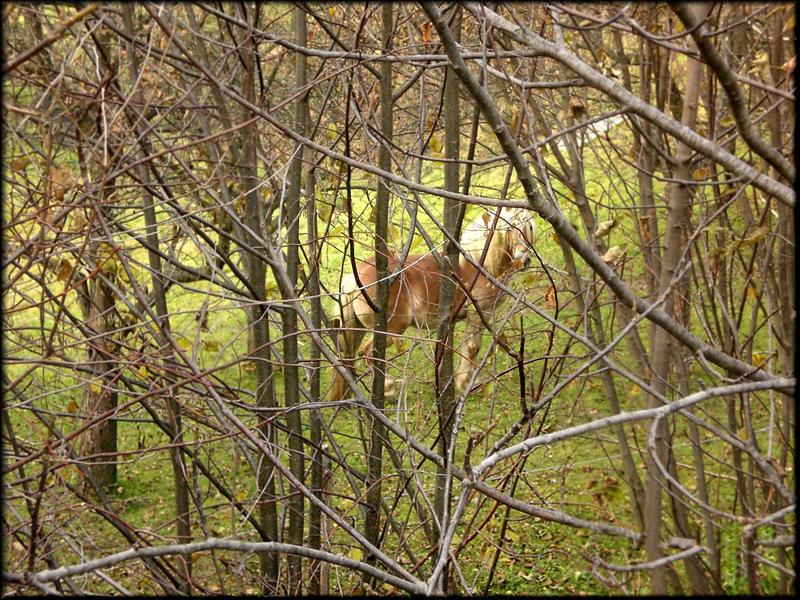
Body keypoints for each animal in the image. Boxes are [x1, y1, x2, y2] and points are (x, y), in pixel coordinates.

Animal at [324, 207, 536, 404]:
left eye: (530, 226)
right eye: (508, 229)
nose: (524, 258)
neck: (478, 263)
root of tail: (354, 279)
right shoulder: (479, 314)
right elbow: (472, 348)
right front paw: (466, 384)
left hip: (358, 328)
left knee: (349, 357)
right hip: (391, 329)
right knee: (368, 355)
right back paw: (388, 389)